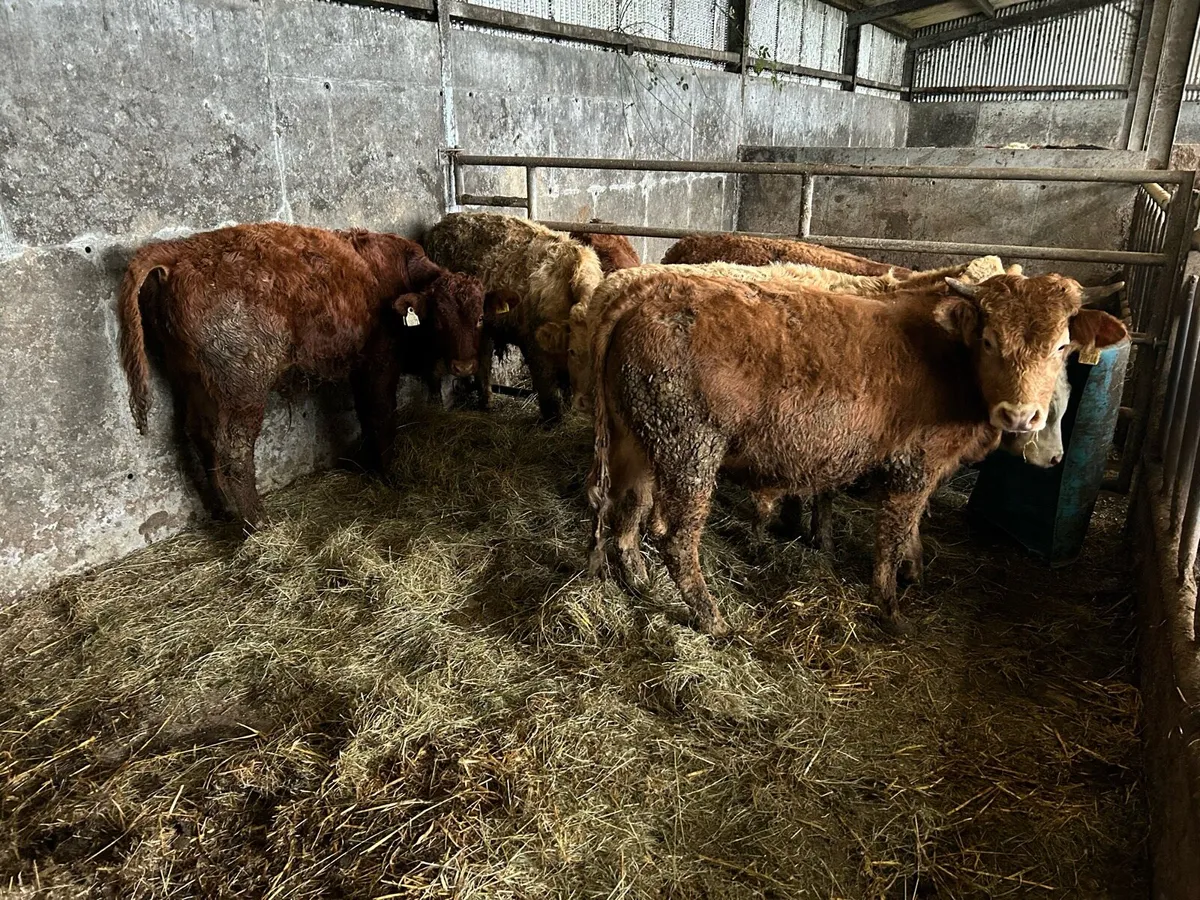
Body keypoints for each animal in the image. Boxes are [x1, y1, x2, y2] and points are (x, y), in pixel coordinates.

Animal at [118, 222, 489, 528]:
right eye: (438, 319)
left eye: (480, 317)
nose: (464, 366)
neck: (399, 273)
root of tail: (179, 252)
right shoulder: (380, 362)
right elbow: (382, 416)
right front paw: (389, 473)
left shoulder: (359, 367)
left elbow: (366, 416)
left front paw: (370, 466)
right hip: (243, 389)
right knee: (234, 450)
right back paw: (258, 523)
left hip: (194, 382)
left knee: (199, 436)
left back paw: (225, 511)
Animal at [424, 212, 603, 423]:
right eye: (576, 351)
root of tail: (442, 224)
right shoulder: (537, 354)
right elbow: (550, 399)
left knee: (483, 361)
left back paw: (486, 402)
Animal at [585, 270, 1126, 637]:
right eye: (991, 339)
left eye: (1061, 347)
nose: (1021, 415)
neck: (952, 359)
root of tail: (647, 293)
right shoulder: (914, 465)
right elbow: (892, 533)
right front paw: (890, 605)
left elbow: (913, 528)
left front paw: (914, 570)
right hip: (690, 448)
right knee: (677, 539)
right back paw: (710, 616)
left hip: (638, 442)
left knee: (627, 513)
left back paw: (638, 580)